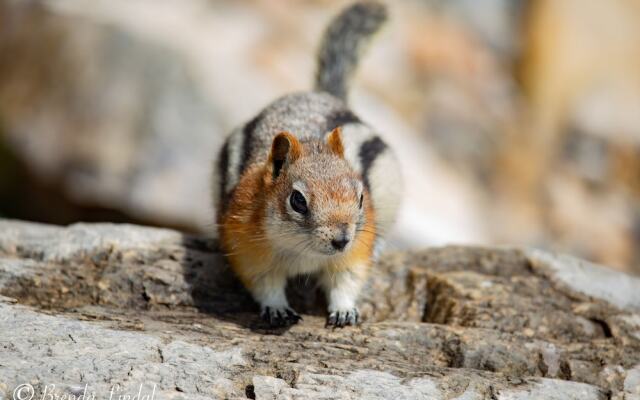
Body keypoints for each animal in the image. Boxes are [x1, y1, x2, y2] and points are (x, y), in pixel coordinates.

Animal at [215, 2, 404, 328]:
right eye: (298, 201)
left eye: (361, 198)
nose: (341, 239)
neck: (303, 252)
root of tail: (319, 95)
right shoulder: (248, 250)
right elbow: (264, 284)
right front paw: (277, 309)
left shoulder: (354, 252)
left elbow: (347, 280)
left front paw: (344, 311)